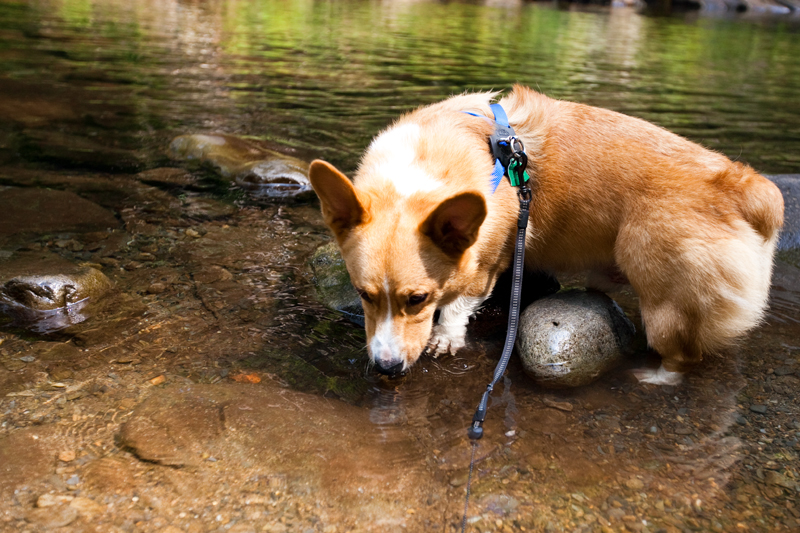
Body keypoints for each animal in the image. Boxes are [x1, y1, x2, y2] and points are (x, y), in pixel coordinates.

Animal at [310, 86, 784, 386]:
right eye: (363, 295)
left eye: (418, 299)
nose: (386, 368)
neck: (423, 169)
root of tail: (745, 188)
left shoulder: (489, 258)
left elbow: (463, 301)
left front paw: (445, 337)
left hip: (666, 298)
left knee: (683, 355)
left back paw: (653, 377)